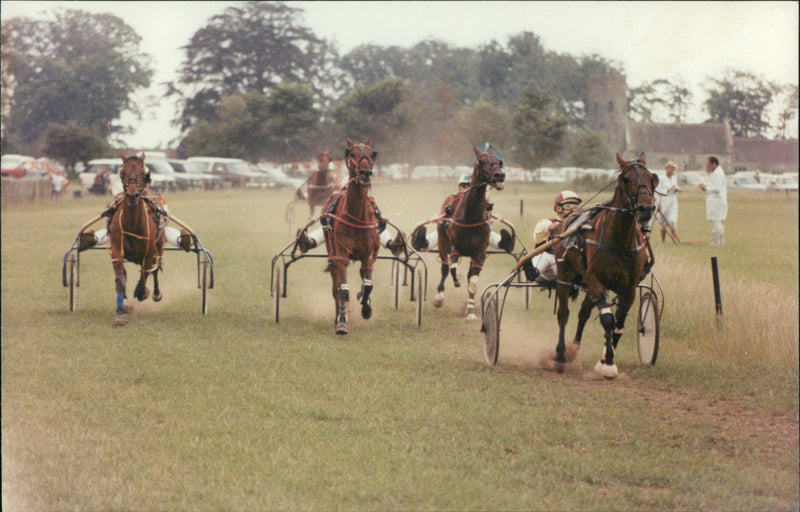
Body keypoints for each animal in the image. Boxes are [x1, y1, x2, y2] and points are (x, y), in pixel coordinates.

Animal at [108, 151, 166, 324]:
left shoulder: (150, 251)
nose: (132, 195)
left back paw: (155, 293)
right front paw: (120, 313)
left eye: (143, 173)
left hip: (159, 245)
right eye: (122, 173)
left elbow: (146, 272)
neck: (133, 223)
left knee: (154, 269)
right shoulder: (116, 250)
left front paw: (141, 291)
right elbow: (120, 279)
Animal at [320, 138, 380, 334]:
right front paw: (341, 321)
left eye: (371, 154)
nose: (365, 173)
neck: (357, 215)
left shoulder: (369, 255)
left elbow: (368, 285)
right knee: (336, 286)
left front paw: (366, 306)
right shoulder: (341, 254)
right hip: (332, 252)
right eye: (352, 153)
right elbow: (342, 289)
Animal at [434, 145, 504, 320]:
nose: (499, 175)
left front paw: (471, 311)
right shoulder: (454, 247)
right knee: (445, 268)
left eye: (499, 161)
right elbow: (452, 267)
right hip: (442, 243)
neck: (471, 216)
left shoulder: (480, 253)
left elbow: (473, 282)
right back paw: (439, 297)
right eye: (481, 161)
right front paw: (455, 279)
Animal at [552, 151, 660, 376]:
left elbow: (618, 324)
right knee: (564, 314)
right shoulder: (596, 280)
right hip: (565, 276)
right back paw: (561, 355)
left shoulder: (628, 288)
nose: (646, 208)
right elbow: (607, 320)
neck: (619, 241)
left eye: (652, 179)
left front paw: (604, 359)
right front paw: (608, 362)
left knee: (583, 313)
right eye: (626, 179)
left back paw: (574, 348)